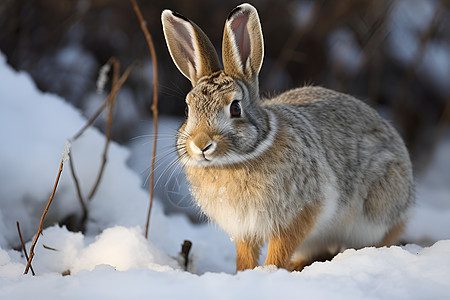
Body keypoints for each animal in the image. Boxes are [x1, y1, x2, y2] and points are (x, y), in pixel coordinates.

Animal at [162, 2, 414, 272]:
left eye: (235, 108)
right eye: (187, 109)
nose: (201, 144)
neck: (239, 159)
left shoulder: (300, 212)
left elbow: (281, 247)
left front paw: (269, 271)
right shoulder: (243, 228)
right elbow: (245, 254)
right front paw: (243, 274)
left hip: (376, 211)